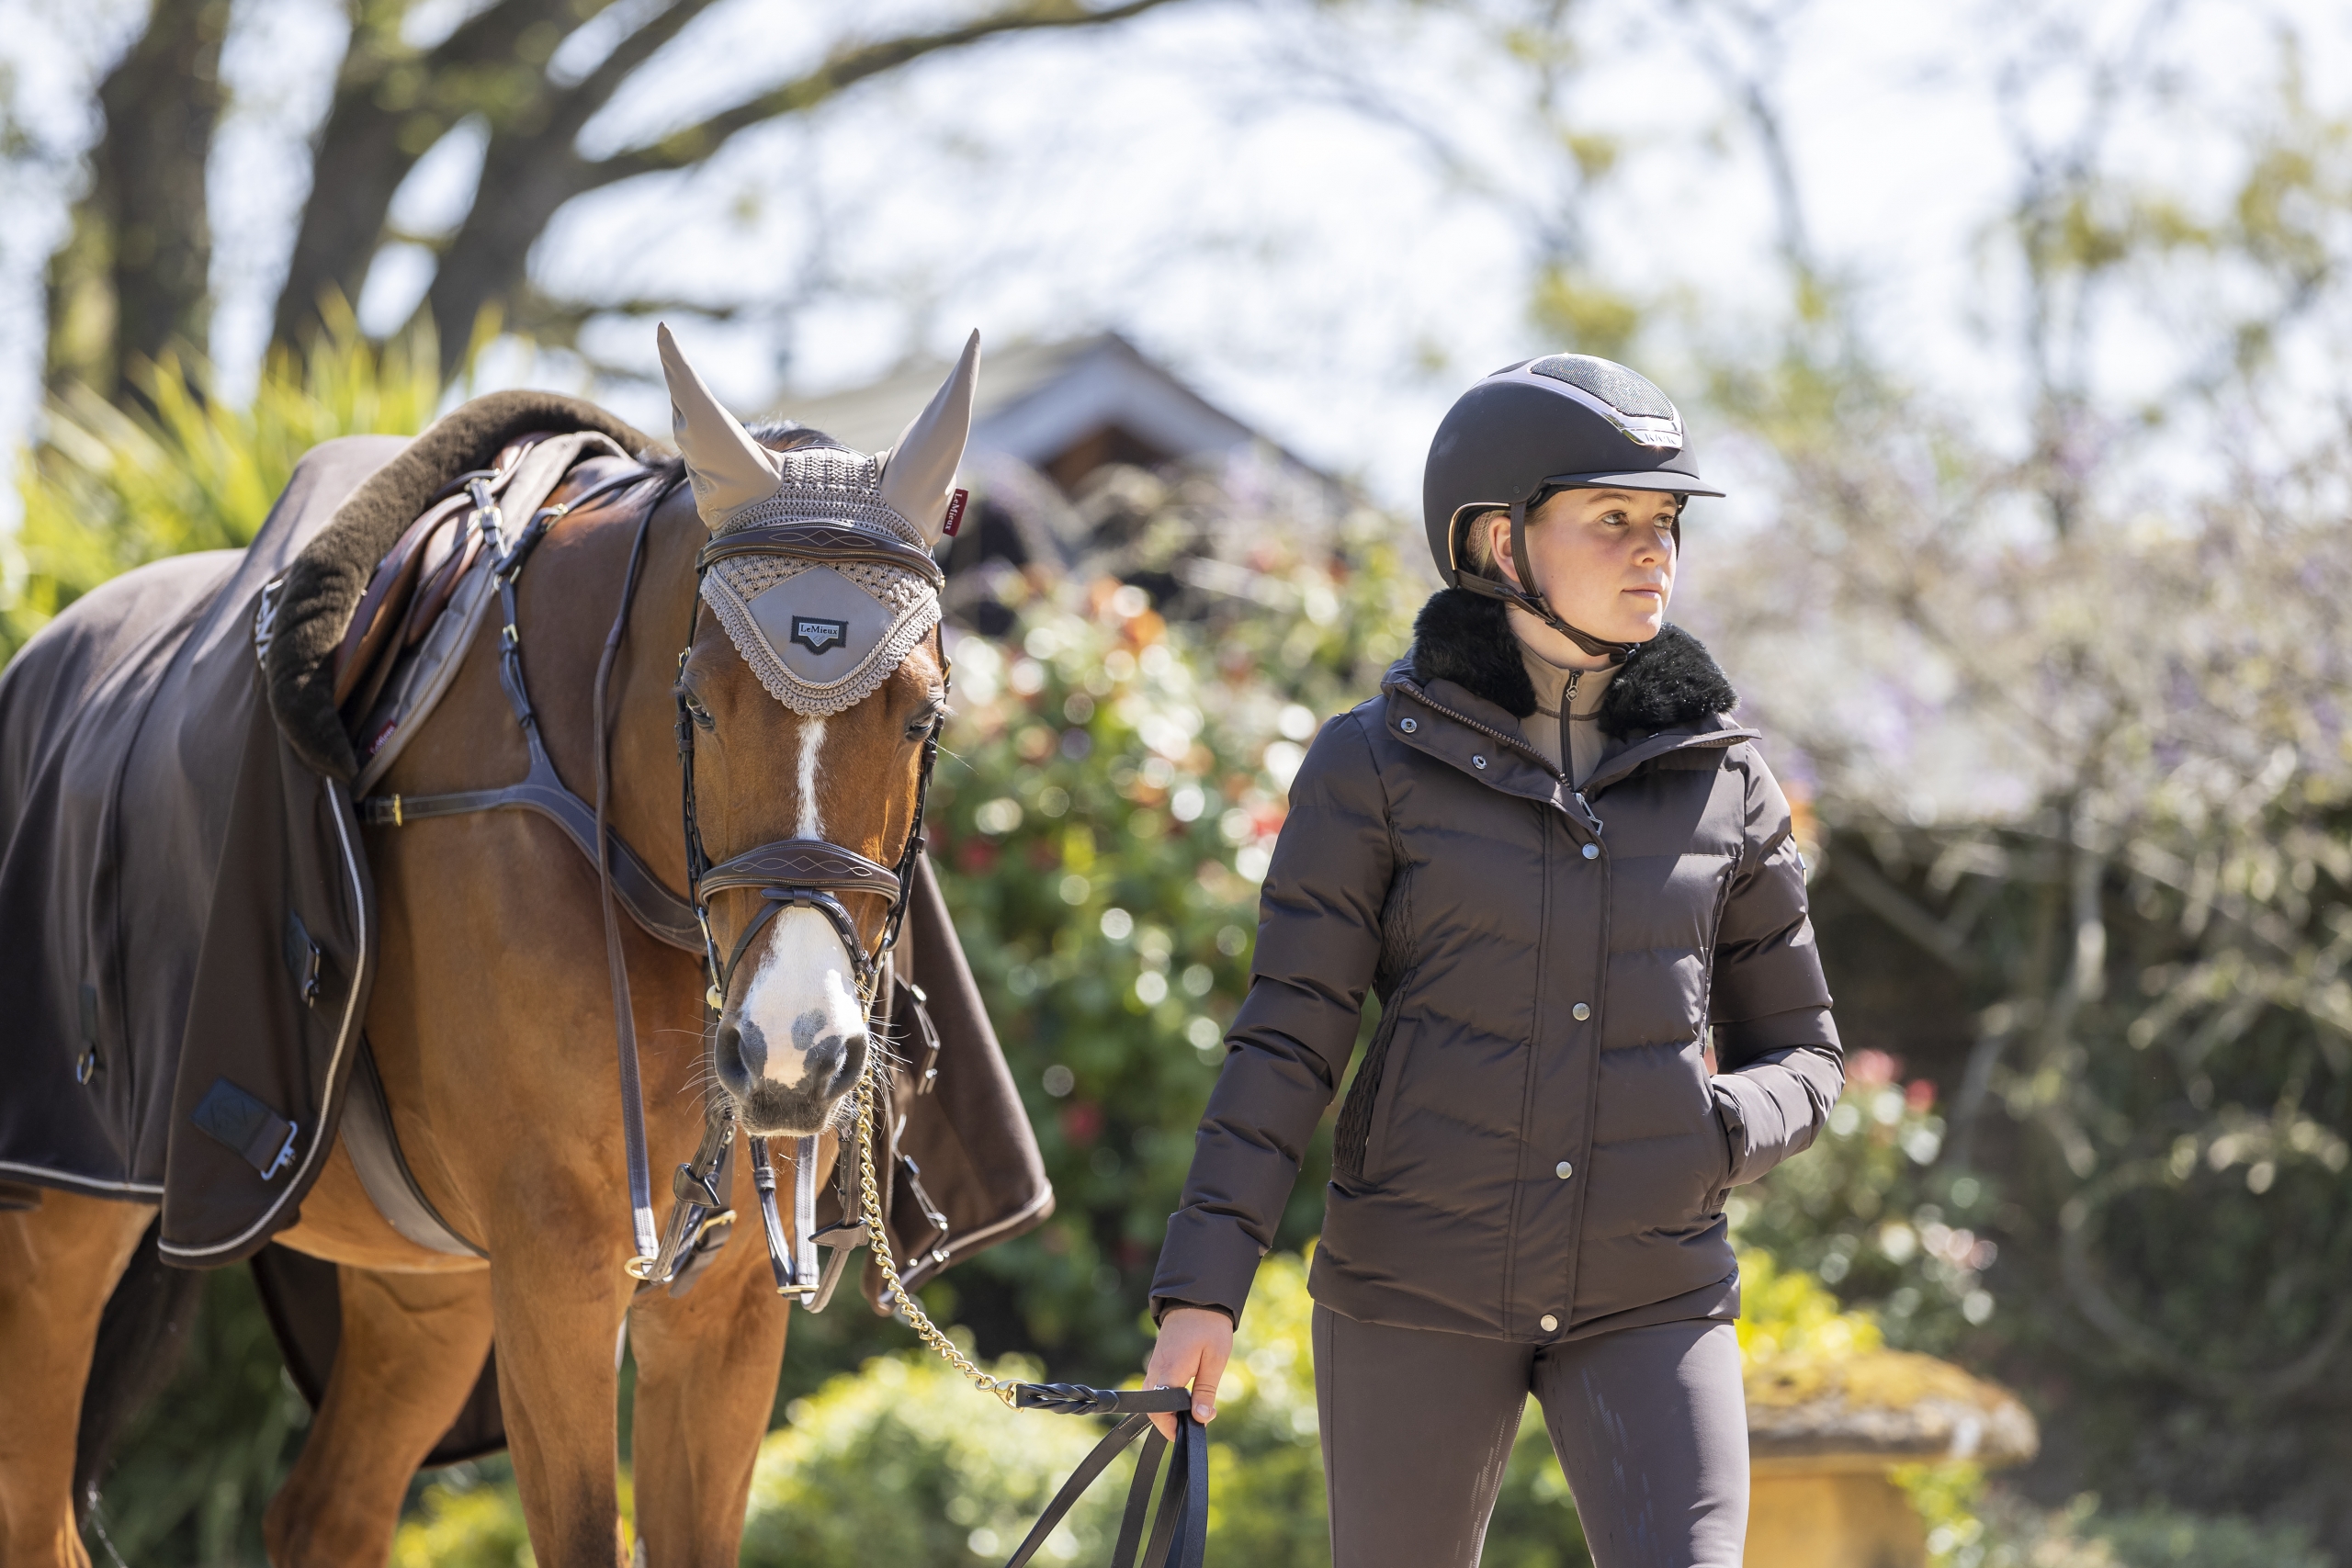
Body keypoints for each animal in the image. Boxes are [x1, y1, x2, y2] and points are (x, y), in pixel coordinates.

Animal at [0, 324, 983, 1561]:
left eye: (923, 714)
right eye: (699, 703)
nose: (792, 1053)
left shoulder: (720, 1310)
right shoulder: (557, 1274)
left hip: (424, 1287)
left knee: (323, 1513)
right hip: (58, 1229)